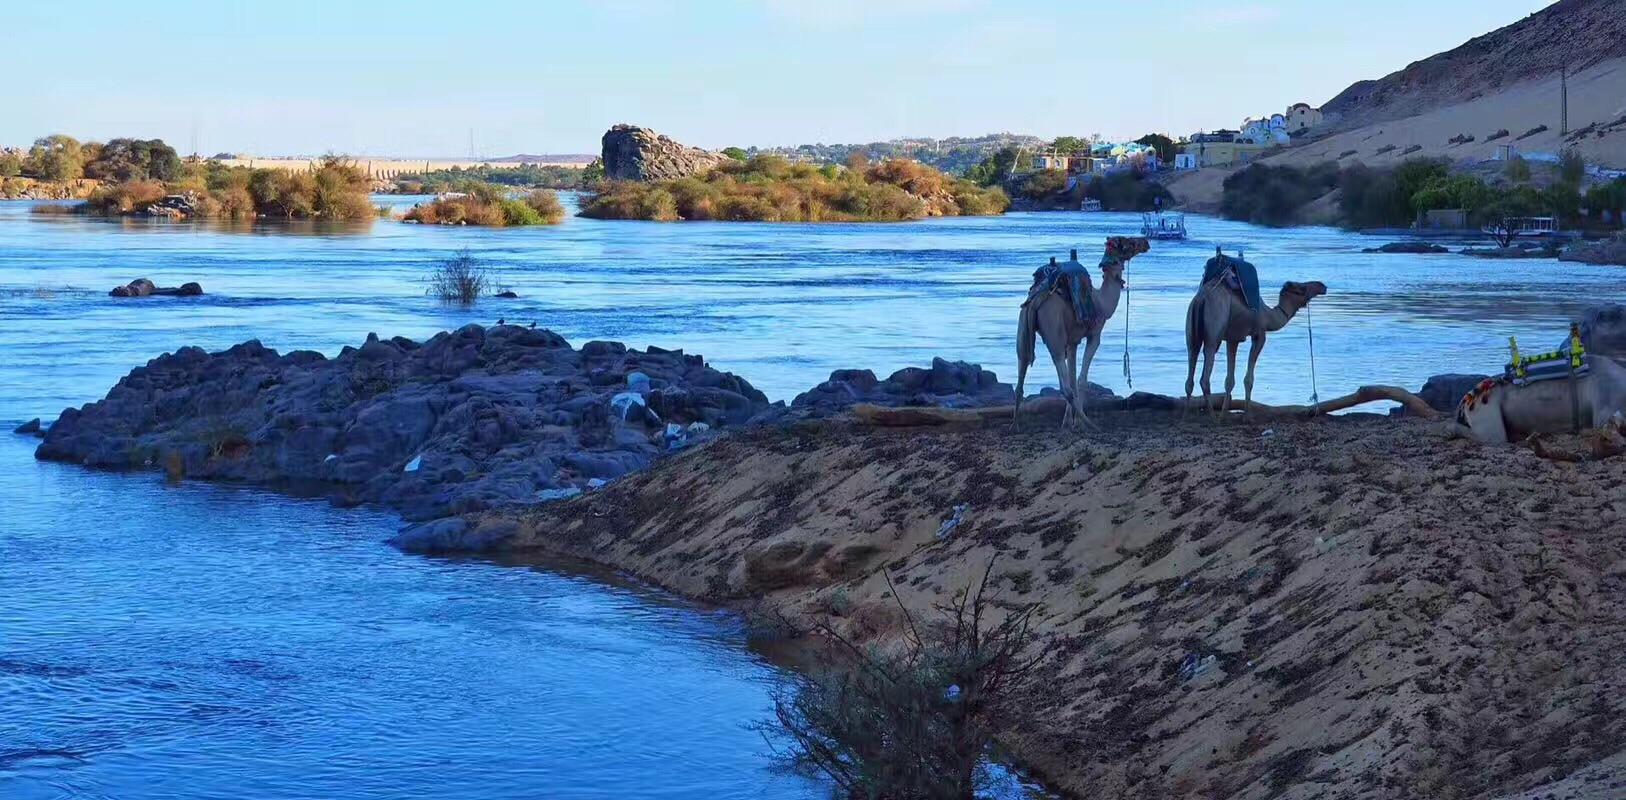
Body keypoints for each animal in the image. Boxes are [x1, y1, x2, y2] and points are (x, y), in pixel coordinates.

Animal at [1008, 234, 1151, 429]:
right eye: (1127, 242)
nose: (1145, 242)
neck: (1101, 303)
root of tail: (1036, 301)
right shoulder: (1094, 336)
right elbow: (1081, 380)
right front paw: (1076, 423)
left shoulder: (1072, 341)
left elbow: (1074, 376)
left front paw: (1068, 422)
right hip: (1054, 333)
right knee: (1064, 386)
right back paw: (1091, 424)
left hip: (1023, 328)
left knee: (1021, 376)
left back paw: (1014, 425)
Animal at [1183, 274, 1333, 416]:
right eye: (1301, 288)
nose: (1322, 285)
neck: (1268, 316)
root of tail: (1201, 299)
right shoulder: (1259, 334)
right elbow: (1248, 380)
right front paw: (1246, 416)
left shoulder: (1233, 338)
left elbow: (1229, 381)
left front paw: (1223, 416)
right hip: (1214, 330)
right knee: (1205, 376)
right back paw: (1212, 417)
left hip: (1191, 330)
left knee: (1191, 363)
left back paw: (1186, 415)